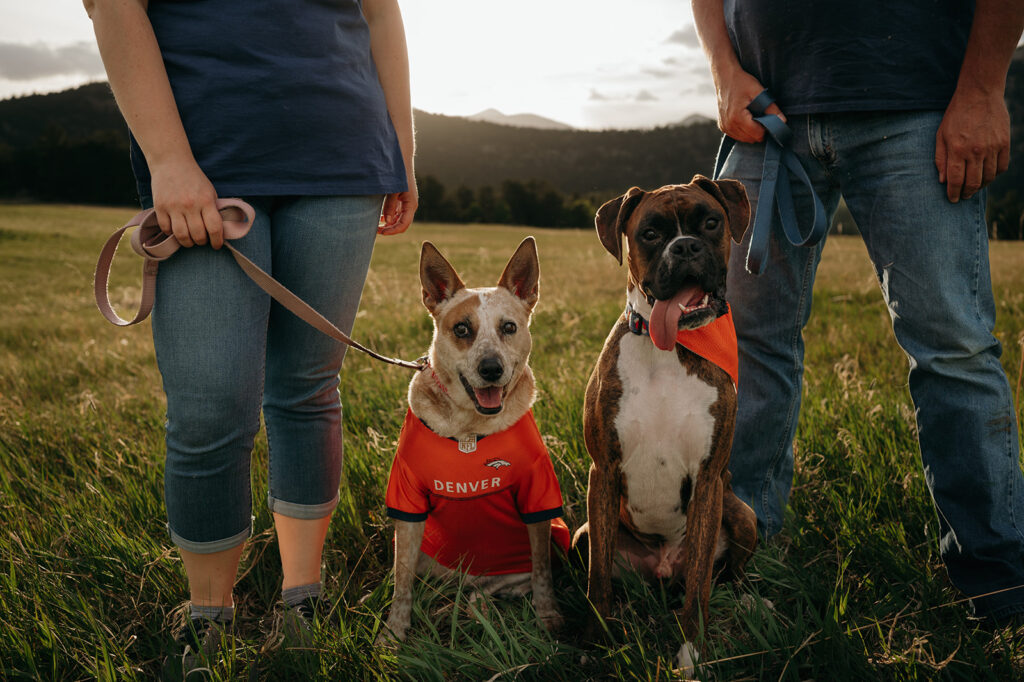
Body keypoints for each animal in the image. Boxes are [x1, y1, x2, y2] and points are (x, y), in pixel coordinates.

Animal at [378, 237, 569, 643]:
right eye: (462, 329)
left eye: (509, 327)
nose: (491, 369)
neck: (469, 429)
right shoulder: (407, 503)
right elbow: (402, 583)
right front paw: (393, 632)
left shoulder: (538, 497)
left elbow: (543, 572)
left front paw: (549, 617)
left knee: (488, 595)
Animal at [577, 174, 761, 667]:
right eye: (650, 233)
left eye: (711, 223)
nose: (685, 247)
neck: (669, 348)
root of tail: (660, 568)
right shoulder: (603, 472)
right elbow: (597, 579)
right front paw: (594, 642)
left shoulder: (709, 479)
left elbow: (699, 582)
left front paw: (690, 649)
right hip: (582, 533)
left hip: (743, 513)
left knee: (724, 573)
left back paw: (749, 598)